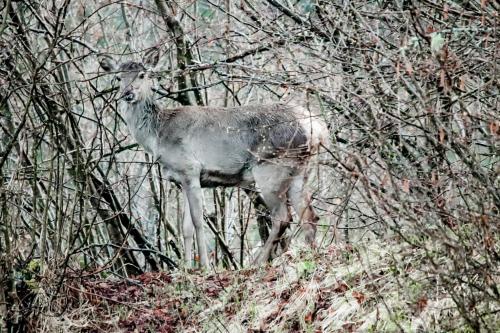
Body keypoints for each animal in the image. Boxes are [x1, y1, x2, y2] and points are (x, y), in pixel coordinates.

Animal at [99, 48, 330, 268]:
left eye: (142, 74)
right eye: (117, 77)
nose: (127, 93)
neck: (158, 136)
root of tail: (318, 128)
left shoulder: (190, 169)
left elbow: (198, 222)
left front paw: (205, 267)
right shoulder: (181, 179)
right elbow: (185, 227)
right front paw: (186, 268)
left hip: (271, 167)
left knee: (282, 217)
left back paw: (257, 262)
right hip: (300, 170)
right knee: (309, 216)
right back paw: (310, 255)